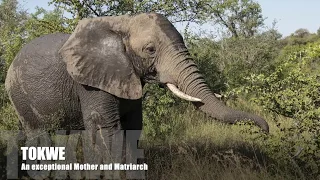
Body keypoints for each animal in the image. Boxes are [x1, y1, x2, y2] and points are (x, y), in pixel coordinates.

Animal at [4, 12, 268, 173]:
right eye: (150, 50)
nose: (265, 132)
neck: (122, 24)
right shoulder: (90, 82)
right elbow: (107, 129)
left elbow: (133, 127)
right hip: (19, 96)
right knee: (39, 136)